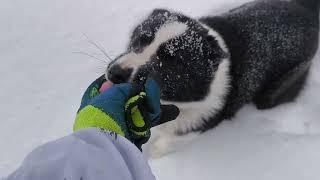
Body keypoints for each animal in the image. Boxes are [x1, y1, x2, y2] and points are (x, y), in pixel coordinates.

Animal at [105, 0, 320, 158]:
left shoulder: (197, 125)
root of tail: (307, 10)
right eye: (140, 38)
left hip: (277, 89)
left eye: (170, 60)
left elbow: (163, 145)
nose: (115, 73)